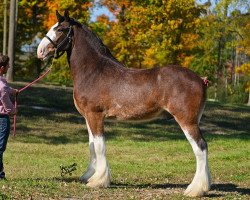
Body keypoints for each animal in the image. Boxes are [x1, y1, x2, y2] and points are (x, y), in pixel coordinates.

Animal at [36, 10, 211, 197]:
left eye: (60, 29)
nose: (40, 51)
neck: (93, 71)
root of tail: (200, 79)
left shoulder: (95, 115)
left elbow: (100, 146)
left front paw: (98, 181)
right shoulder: (88, 117)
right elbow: (92, 146)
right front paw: (88, 176)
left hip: (187, 121)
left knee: (200, 148)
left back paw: (195, 189)